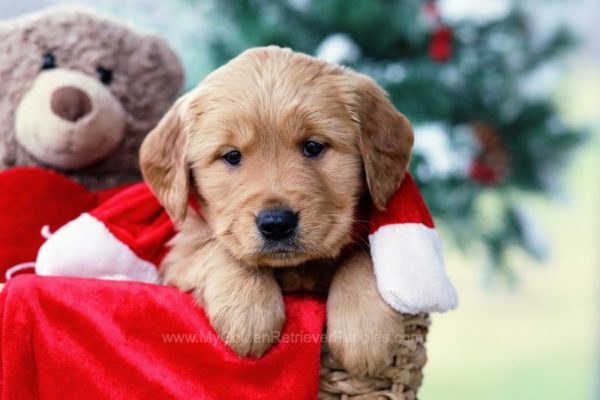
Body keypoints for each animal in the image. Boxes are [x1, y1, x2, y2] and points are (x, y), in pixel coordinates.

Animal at [140, 46, 412, 376]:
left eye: (313, 146)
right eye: (232, 156)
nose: (277, 223)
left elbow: (362, 256)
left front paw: (364, 329)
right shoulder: (178, 254)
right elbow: (218, 249)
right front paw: (248, 309)